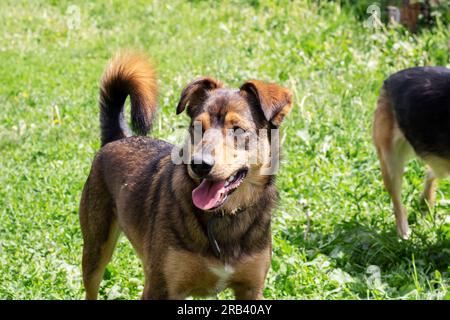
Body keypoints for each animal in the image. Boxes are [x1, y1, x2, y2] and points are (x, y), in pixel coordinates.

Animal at [79, 51, 294, 298]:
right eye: (196, 127)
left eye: (238, 130)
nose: (199, 164)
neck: (223, 216)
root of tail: (119, 137)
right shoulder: (160, 287)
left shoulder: (251, 289)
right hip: (95, 250)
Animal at [374, 67, 450, 238]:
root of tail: (393, 76)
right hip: (391, 162)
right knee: (398, 206)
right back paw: (404, 235)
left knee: (432, 172)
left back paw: (425, 203)